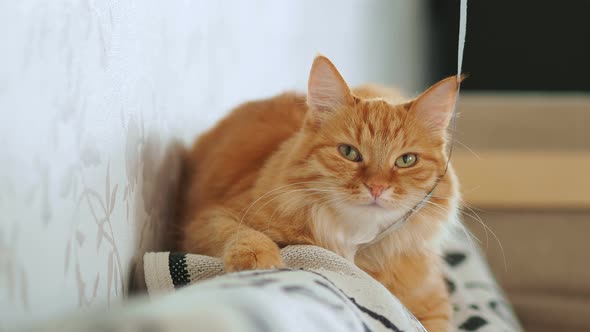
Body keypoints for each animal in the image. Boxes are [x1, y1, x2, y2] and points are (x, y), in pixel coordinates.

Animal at [180, 55, 462, 330]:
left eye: (406, 160)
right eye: (349, 152)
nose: (376, 187)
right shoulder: (211, 217)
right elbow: (241, 233)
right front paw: (260, 262)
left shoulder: (433, 307)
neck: (352, 237)